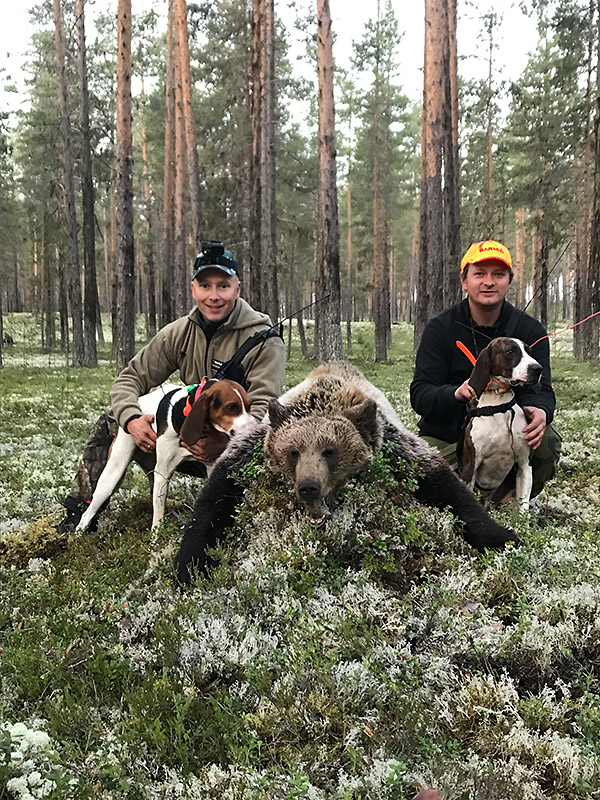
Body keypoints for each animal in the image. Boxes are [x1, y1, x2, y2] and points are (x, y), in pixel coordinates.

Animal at [76, 380, 252, 532]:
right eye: (231, 407)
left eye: (249, 406)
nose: (254, 428)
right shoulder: (163, 472)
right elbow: (158, 514)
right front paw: (155, 539)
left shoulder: (209, 468)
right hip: (112, 476)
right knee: (86, 514)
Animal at [175, 360, 520, 580]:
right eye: (293, 452)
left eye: (330, 451)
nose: (309, 486)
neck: (327, 394)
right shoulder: (254, 448)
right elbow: (217, 494)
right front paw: (189, 565)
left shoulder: (391, 444)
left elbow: (442, 483)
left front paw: (503, 536)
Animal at [460, 336, 544, 510]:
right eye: (510, 351)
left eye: (529, 351)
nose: (538, 368)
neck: (498, 402)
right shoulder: (471, 465)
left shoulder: (524, 465)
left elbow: (523, 509)